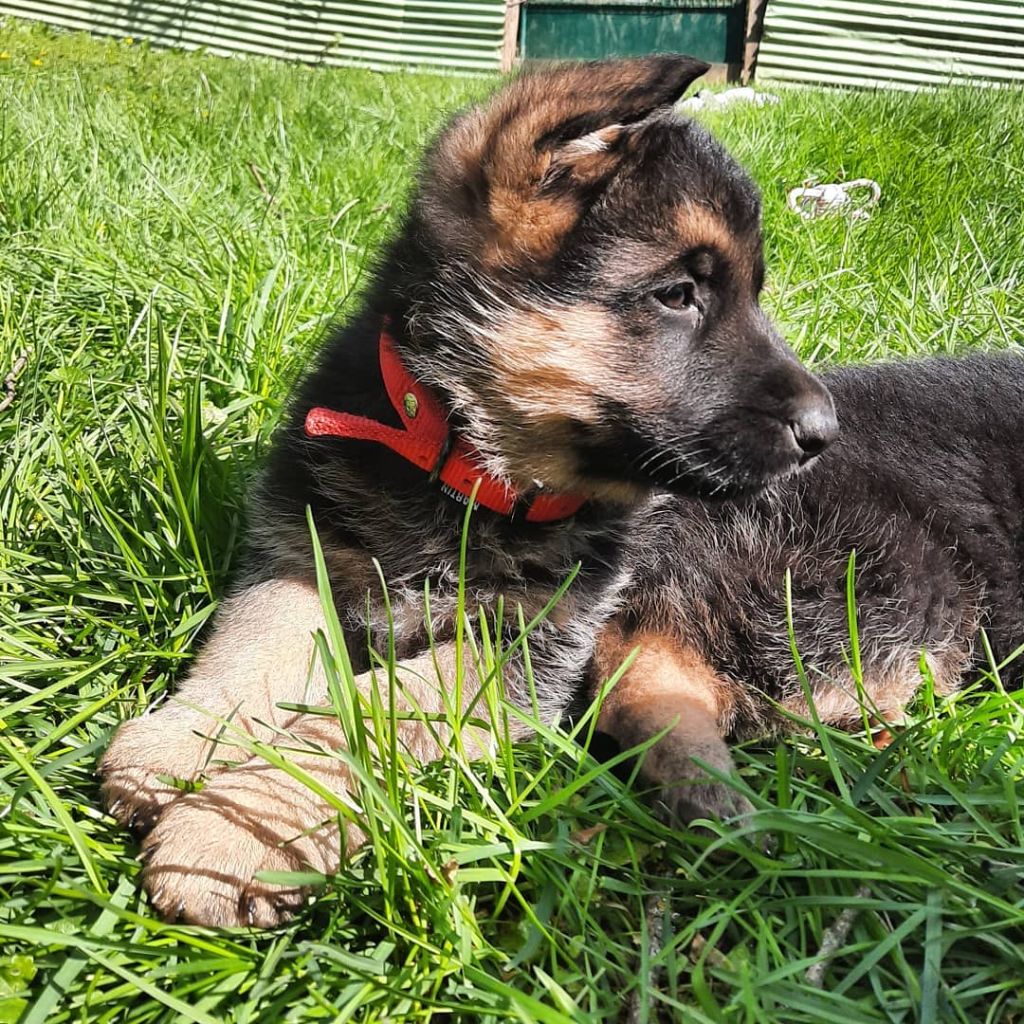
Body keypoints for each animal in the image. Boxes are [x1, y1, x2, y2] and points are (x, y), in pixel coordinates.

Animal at [97, 56, 1024, 929]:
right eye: (678, 295)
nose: (824, 432)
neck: (468, 471)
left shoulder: (526, 647)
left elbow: (366, 712)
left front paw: (236, 830)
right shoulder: (304, 546)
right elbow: (252, 639)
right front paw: (182, 744)